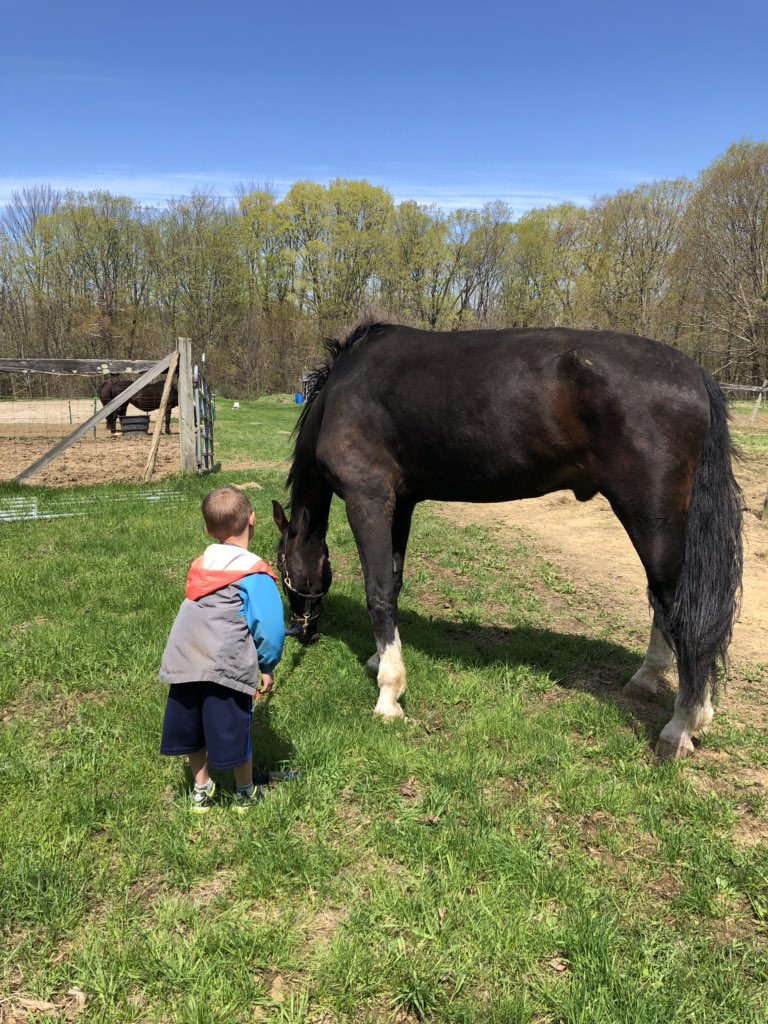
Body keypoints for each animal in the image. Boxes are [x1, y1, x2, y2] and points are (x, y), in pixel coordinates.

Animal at [272, 322, 743, 759]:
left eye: (281, 571)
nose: (304, 632)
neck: (341, 391)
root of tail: (695, 374)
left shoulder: (368, 497)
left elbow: (379, 593)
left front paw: (389, 695)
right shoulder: (401, 502)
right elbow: (395, 580)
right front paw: (378, 660)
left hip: (650, 517)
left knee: (679, 606)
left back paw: (682, 725)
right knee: (665, 601)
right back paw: (649, 681)